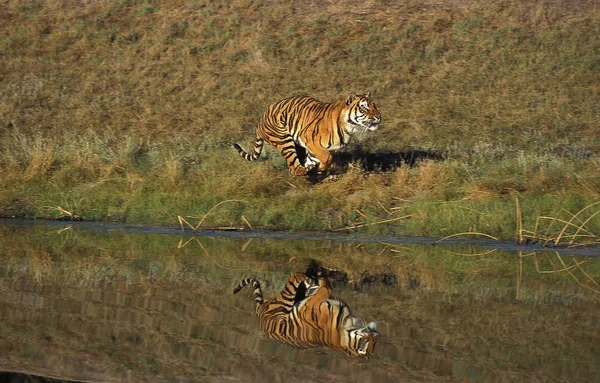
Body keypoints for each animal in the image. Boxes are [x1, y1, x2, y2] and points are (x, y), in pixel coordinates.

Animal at [233, 91, 380, 176]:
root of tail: (260, 121)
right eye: (364, 108)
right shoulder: (308, 138)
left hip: (296, 145)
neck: (349, 128)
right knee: (293, 167)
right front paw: (320, 169)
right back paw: (306, 171)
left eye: (374, 106)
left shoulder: (311, 147)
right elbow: (327, 157)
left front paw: (319, 170)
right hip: (284, 139)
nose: (379, 117)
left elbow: (317, 158)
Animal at [233, 264, 380, 356]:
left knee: (294, 276)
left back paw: (306, 275)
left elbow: (325, 289)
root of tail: (260, 309)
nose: (375, 333)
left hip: (285, 299)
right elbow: (326, 286)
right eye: (371, 340)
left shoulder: (312, 304)